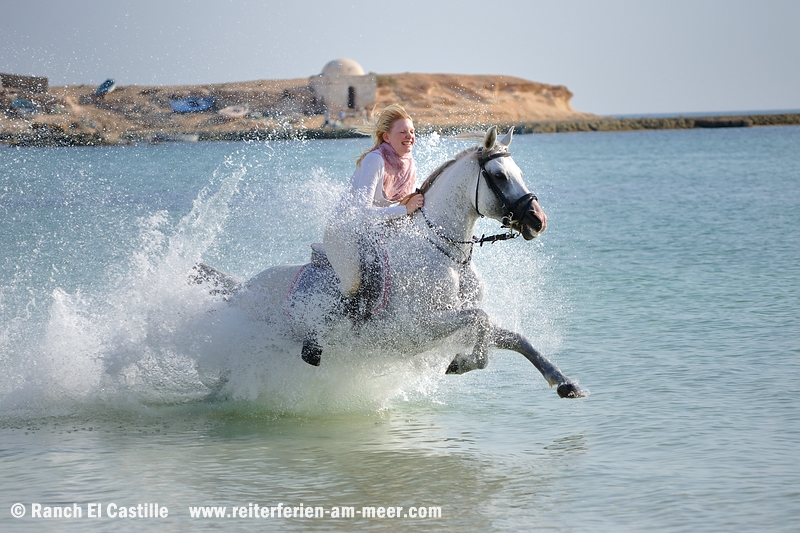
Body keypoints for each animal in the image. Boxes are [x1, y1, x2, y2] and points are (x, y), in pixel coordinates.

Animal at [203, 127, 584, 396]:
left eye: (518, 171)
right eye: (500, 176)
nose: (538, 220)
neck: (446, 254)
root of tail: (240, 290)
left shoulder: (451, 326)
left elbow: (511, 336)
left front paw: (565, 383)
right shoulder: (417, 328)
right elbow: (481, 318)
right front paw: (464, 363)